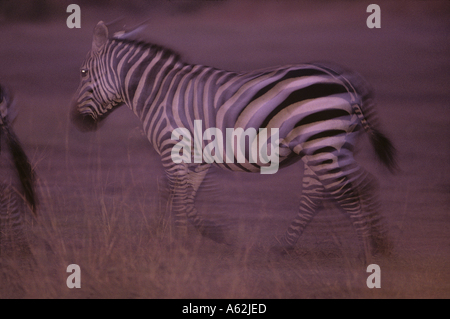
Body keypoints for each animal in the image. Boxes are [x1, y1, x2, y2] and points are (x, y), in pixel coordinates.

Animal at [68, 21, 396, 262]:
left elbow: (176, 194)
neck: (157, 92)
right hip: (333, 145)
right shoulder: (195, 155)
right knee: (336, 190)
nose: (76, 122)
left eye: (83, 73)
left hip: (321, 143)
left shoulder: (171, 147)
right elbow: (182, 196)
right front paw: (176, 235)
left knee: (346, 193)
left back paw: (367, 253)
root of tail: (345, 82)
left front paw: (186, 239)